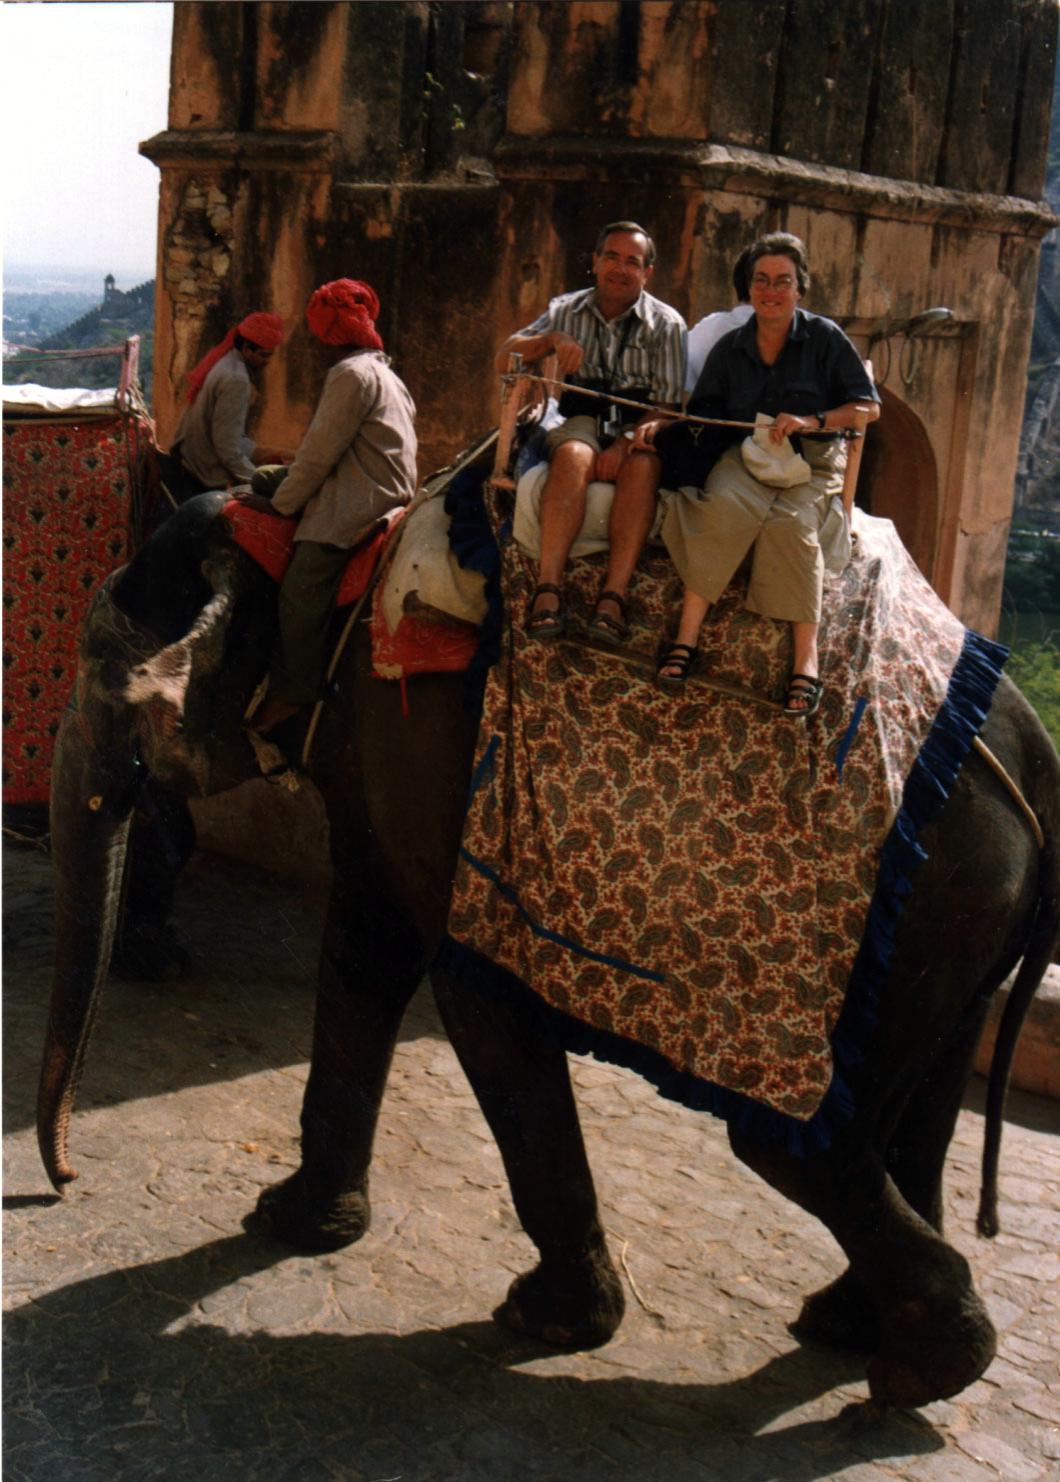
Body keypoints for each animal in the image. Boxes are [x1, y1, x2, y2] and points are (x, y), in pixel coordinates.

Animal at [37, 489, 1055, 1410]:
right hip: (965, 924)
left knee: (790, 1142)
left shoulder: (420, 750)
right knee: (922, 1109)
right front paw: (291, 1224)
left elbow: (469, 990)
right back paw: (854, 1331)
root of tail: (1031, 758)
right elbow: (366, 950)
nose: (65, 1182)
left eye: (103, 682)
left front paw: (549, 1322)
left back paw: (919, 1370)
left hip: (918, 905)